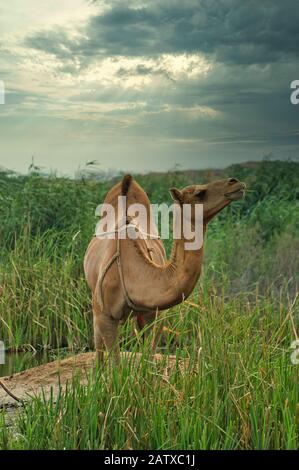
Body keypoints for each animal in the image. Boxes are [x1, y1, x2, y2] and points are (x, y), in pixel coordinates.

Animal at [84, 174, 246, 362]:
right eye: (199, 193)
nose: (235, 182)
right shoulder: (105, 316)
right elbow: (114, 362)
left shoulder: (152, 314)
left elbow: (148, 357)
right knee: (99, 350)